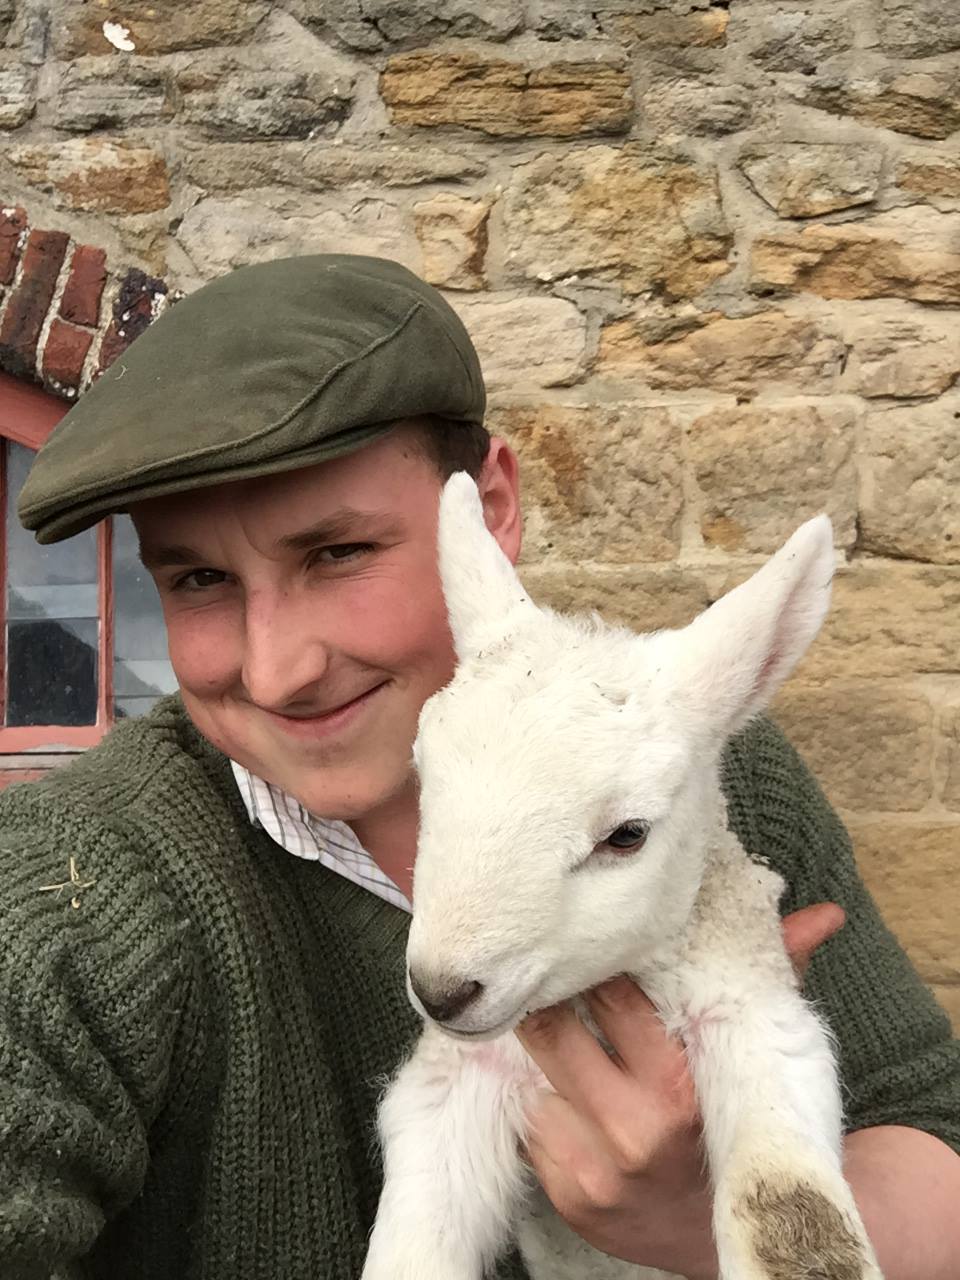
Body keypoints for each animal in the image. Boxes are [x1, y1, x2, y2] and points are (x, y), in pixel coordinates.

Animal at [362, 472, 884, 1280]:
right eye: (422, 775)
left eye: (627, 835)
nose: (442, 991)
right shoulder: (454, 1081)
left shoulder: (755, 1016)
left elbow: (790, 1213)